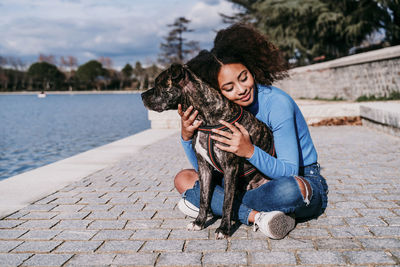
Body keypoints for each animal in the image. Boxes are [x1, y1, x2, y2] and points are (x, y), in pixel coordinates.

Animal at [141, 63, 276, 240]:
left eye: (158, 84)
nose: (141, 95)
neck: (206, 118)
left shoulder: (230, 168)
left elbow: (226, 202)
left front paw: (224, 229)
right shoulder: (204, 166)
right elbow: (204, 198)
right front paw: (199, 223)